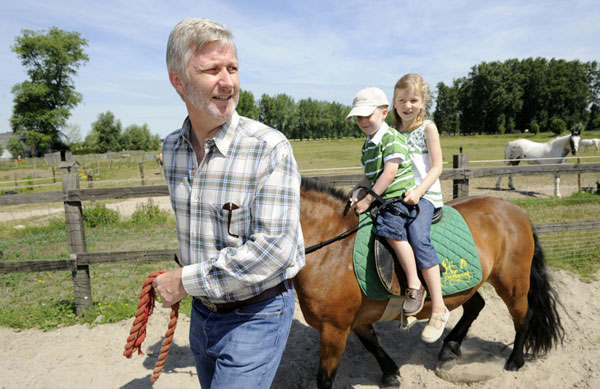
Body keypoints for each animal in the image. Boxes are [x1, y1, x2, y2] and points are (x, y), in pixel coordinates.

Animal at [292, 178, 564, 388]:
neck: (333, 249)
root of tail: (515, 210)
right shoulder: (353, 320)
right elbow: (372, 343)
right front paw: (391, 373)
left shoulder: (334, 329)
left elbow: (325, 379)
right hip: (467, 285)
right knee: (475, 306)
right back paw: (449, 347)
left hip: (512, 283)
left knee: (523, 318)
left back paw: (514, 361)